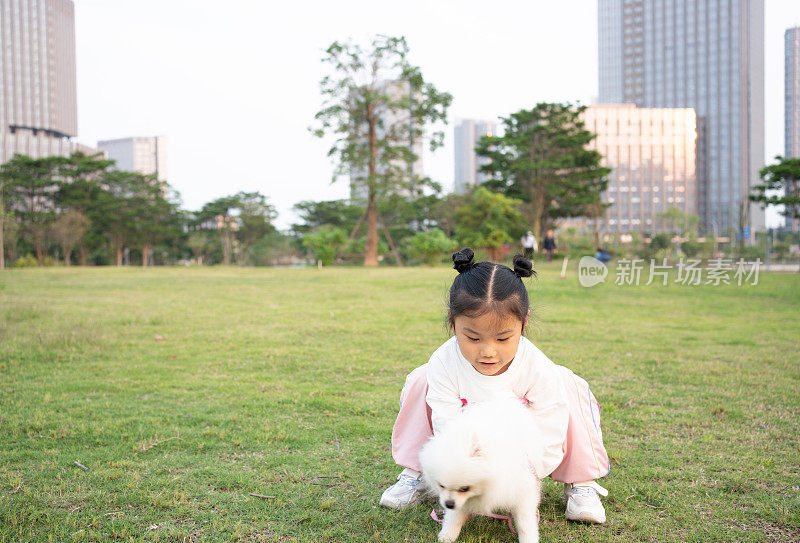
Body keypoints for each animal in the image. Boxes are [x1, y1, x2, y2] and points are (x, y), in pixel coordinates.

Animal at [418, 400, 544, 543]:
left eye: (464, 488)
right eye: (441, 486)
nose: (448, 504)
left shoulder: (522, 491)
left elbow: (525, 523)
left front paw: (529, 538)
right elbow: (454, 516)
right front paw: (447, 535)